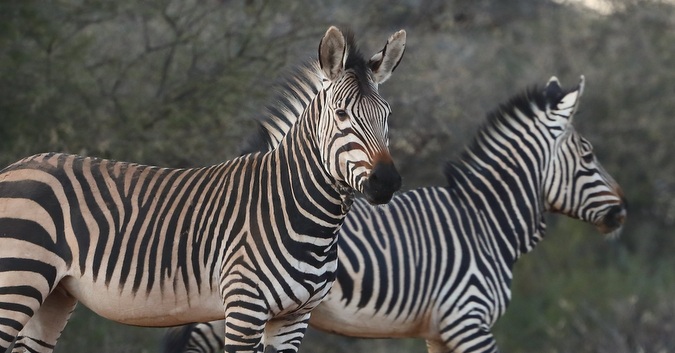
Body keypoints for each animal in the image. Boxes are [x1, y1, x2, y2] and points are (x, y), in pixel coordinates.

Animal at [0, 25, 406, 352]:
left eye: (387, 115)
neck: (298, 211)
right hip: (16, 281)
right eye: (341, 115)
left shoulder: (295, 317)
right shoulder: (244, 308)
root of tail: (15, 167)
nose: (387, 181)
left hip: (56, 292)